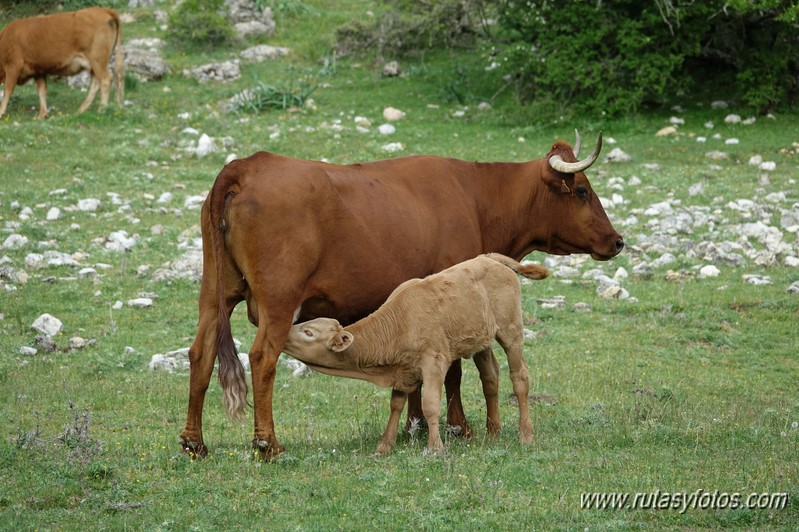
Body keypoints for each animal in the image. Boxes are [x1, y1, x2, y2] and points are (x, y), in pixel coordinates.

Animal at [282, 256, 552, 456]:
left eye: (308, 332)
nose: (284, 334)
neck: (400, 322)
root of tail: (489, 258)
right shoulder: (404, 369)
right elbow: (396, 404)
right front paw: (384, 446)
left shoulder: (434, 362)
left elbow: (430, 404)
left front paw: (435, 448)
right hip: (481, 341)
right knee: (490, 377)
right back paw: (493, 431)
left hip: (511, 332)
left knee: (519, 378)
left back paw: (526, 434)